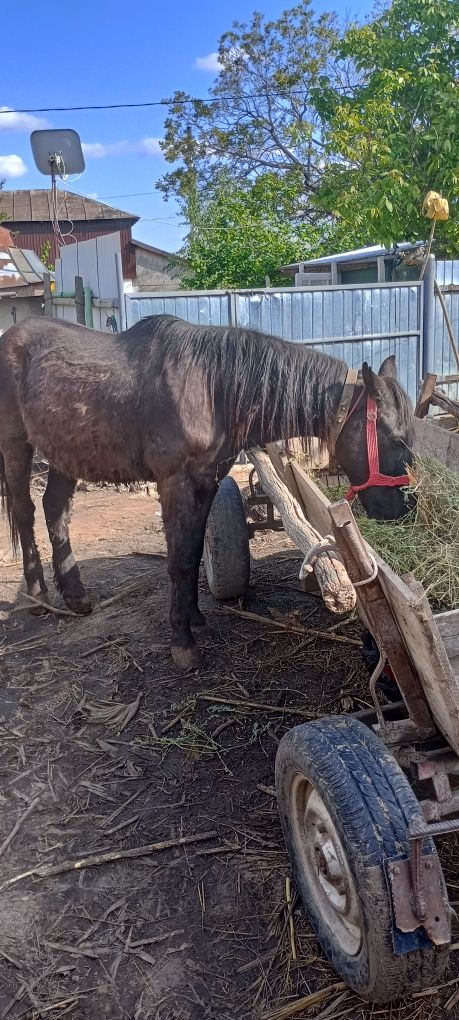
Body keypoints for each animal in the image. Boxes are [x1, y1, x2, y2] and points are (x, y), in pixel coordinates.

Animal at [0, 314, 414, 673]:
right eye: (396, 439)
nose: (401, 511)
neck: (211, 389)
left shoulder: (206, 481)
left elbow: (195, 551)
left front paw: (196, 619)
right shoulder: (175, 483)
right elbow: (179, 562)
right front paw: (182, 643)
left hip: (64, 452)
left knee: (54, 508)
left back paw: (75, 596)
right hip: (17, 445)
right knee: (24, 512)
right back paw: (38, 598)